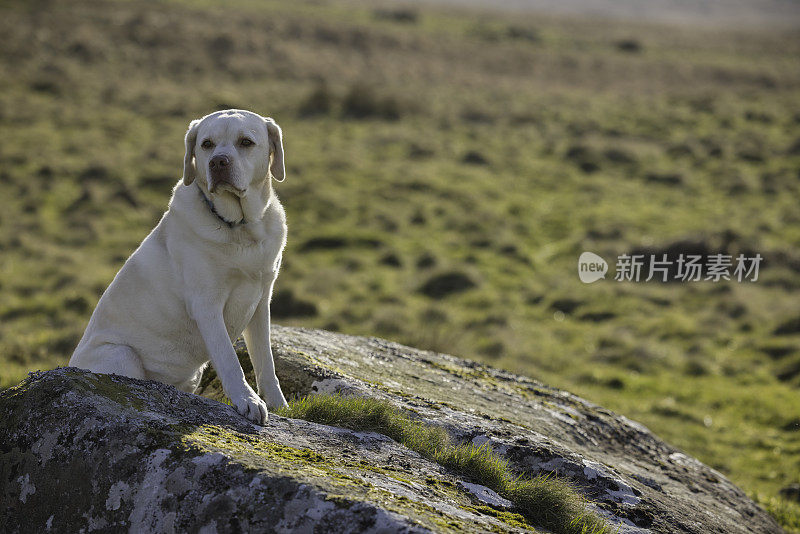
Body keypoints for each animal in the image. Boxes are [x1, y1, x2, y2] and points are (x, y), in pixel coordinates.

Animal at [69, 111, 288, 426]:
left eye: (246, 142)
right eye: (206, 144)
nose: (218, 162)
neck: (241, 228)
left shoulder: (261, 301)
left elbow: (265, 362)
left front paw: (280, 405)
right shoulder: (207, 305)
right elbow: (229, 359)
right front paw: (247, 400)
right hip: (121, 354)